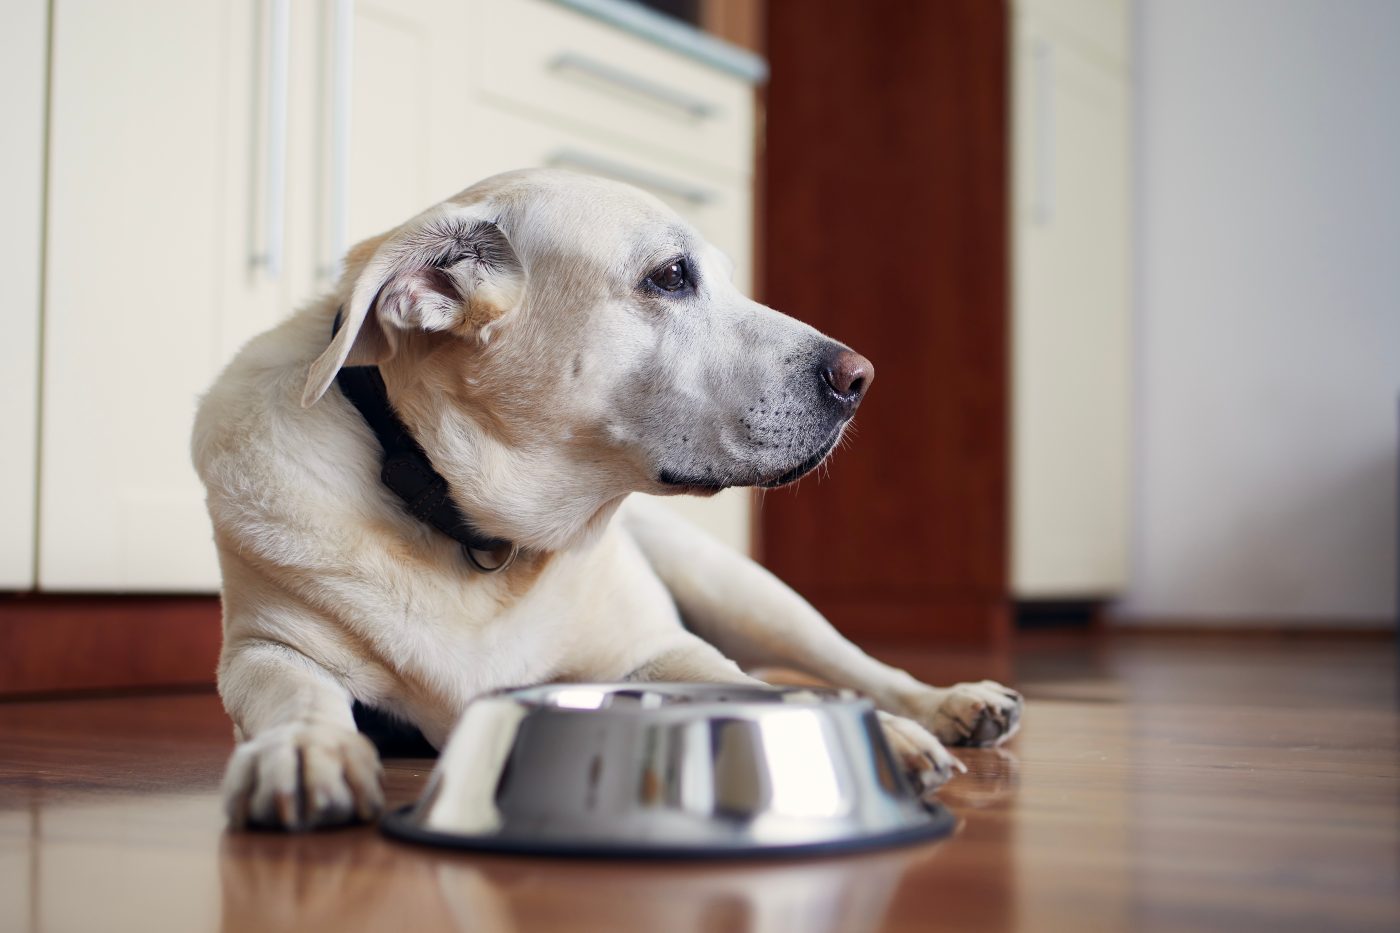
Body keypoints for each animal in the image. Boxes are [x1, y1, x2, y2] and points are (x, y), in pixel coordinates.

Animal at [191, 163, 1019, 823]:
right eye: (671, 276)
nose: (860, 378)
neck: (479, 532)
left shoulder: (660, 649)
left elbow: (739, 683)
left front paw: (889, 736)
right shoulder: (267, 649)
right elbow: (297, 694)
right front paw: (307, 746)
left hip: (745, 592)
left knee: (851, 662)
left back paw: (948, 701)